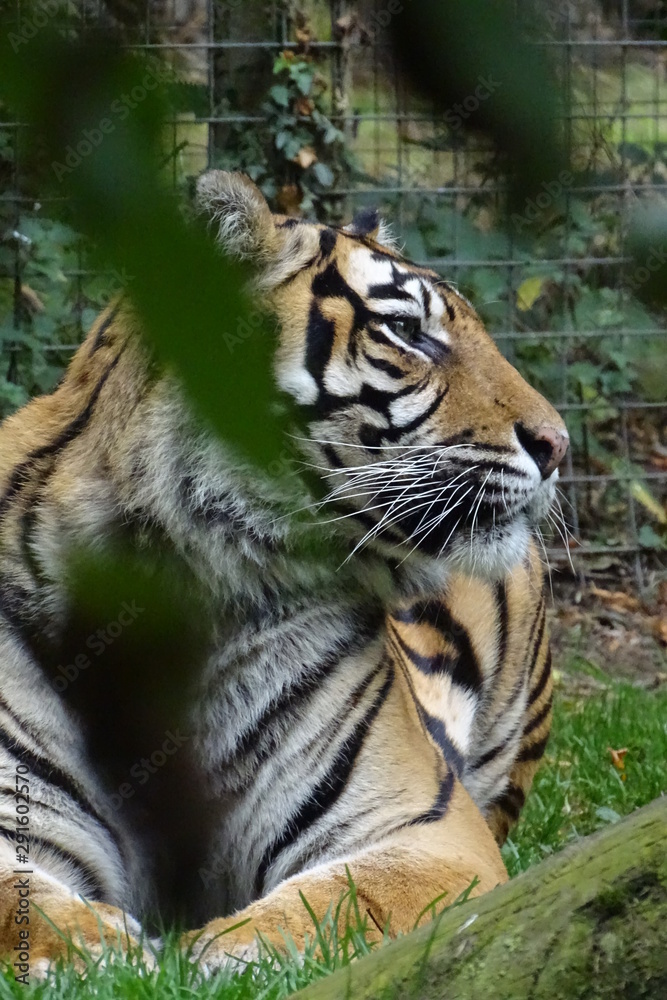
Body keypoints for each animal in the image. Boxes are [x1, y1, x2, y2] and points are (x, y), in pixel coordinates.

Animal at [0, 171, 565, 974]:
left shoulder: (426, 828)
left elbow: (342, 898)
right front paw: (96, 945)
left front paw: (206, 951)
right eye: (408, 332)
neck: (174, 593)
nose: (558, 445)